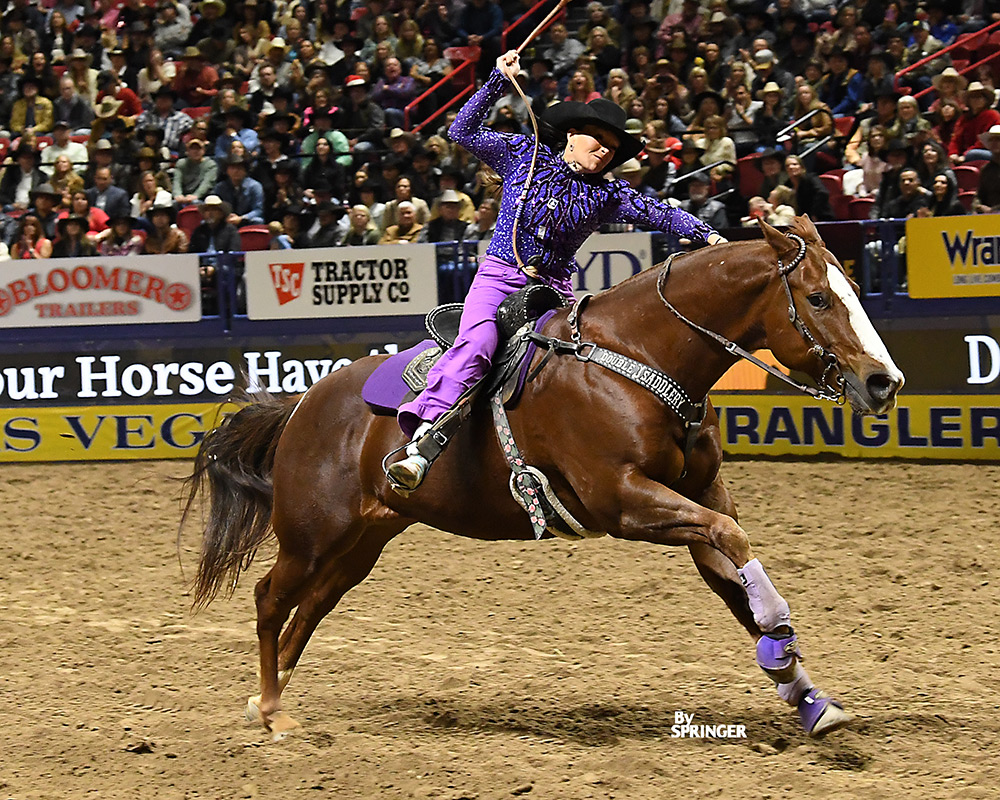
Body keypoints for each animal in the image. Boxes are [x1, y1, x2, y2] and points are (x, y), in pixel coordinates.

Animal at [183, 217, 904, 739]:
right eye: (818, 297)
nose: (884, 382)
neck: (633, 356)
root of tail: (301, 405)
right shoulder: (623, 503)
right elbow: (735, 547)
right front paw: (782, 632)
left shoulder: (698, 496)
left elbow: (732, 575)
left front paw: (806, 696)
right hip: (311, 533)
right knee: (270, 600)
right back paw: (273, 710)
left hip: (362, 542)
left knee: (311, 609)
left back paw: (266, 698)